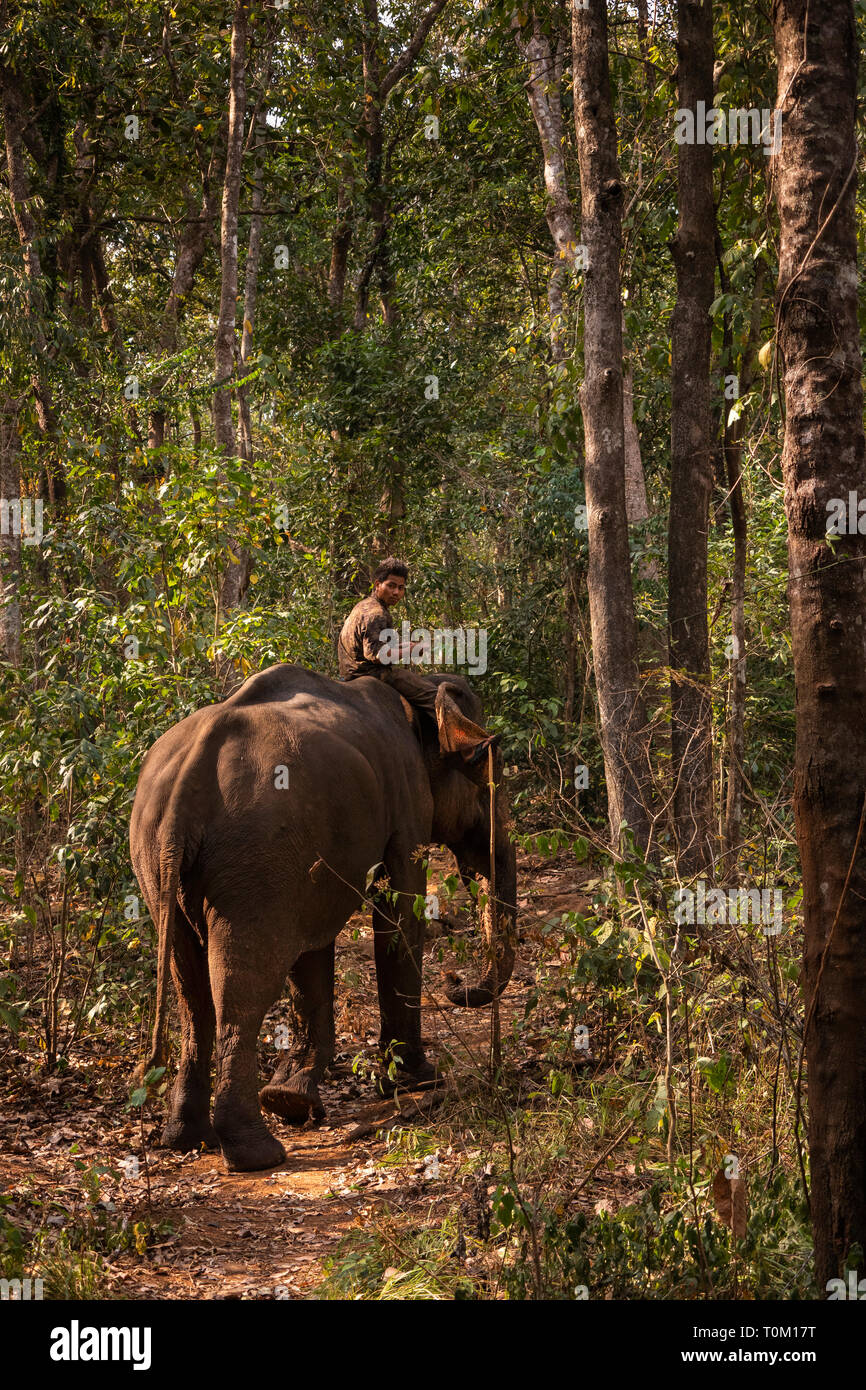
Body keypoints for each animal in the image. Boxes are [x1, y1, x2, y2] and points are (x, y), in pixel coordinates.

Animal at [128, 661, 514, 1173]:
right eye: (485, 771)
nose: (456, 985)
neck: (418, 691)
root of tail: (186, 783)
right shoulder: (404, 800)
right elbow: (398, 907)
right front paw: (418, 1081)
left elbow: (313, 943)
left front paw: (293, 1098)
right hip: (252, 860)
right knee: (242, 986)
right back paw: (257, 1154)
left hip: (158, 863)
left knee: (191, 989)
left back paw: (189, 1139)